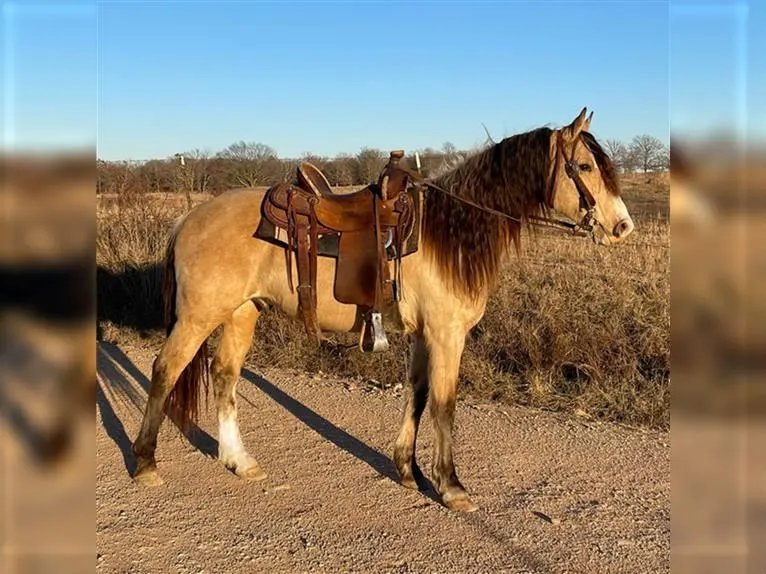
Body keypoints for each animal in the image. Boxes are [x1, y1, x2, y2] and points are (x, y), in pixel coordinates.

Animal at [132, 107, 634, 512]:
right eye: (584, 166)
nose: (622, 228)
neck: (445, 234)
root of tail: (189, 218)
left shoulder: (422, 335)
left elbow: (416, 394)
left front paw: (408, 471)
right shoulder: (446, 334)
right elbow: (444, 404)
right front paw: (451, 486)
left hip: (242, 313)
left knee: (224, 375)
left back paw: (239, 461)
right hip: (198, 318)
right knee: (165, 370)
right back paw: (145, 462)